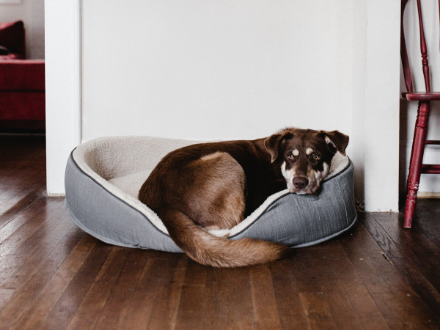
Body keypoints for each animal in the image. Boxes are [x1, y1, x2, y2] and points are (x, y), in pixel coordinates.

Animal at [139, 127, 348, 266]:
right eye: (290, 155)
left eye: (316, 156)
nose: (299, 183)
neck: (278, 165)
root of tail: (162, 205)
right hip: (227, 160)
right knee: (230, 226)